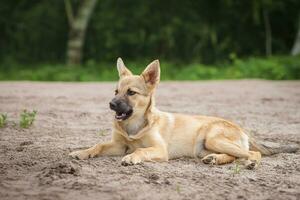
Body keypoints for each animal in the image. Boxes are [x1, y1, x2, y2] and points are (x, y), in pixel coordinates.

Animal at [69, 57, 298, 169]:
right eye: (115, 92)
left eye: (131, 93)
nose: (110, 104)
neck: (134, 126)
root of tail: (242, 129)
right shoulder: (118, 145)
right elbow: (98, 145)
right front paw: (81, 152)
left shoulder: (159, 150)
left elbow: (141, 151)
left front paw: (132, 158)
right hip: (205, 148)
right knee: (233, 156)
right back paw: (215, 160)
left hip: (213, 139)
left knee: (252, 153)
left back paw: (250, 162)